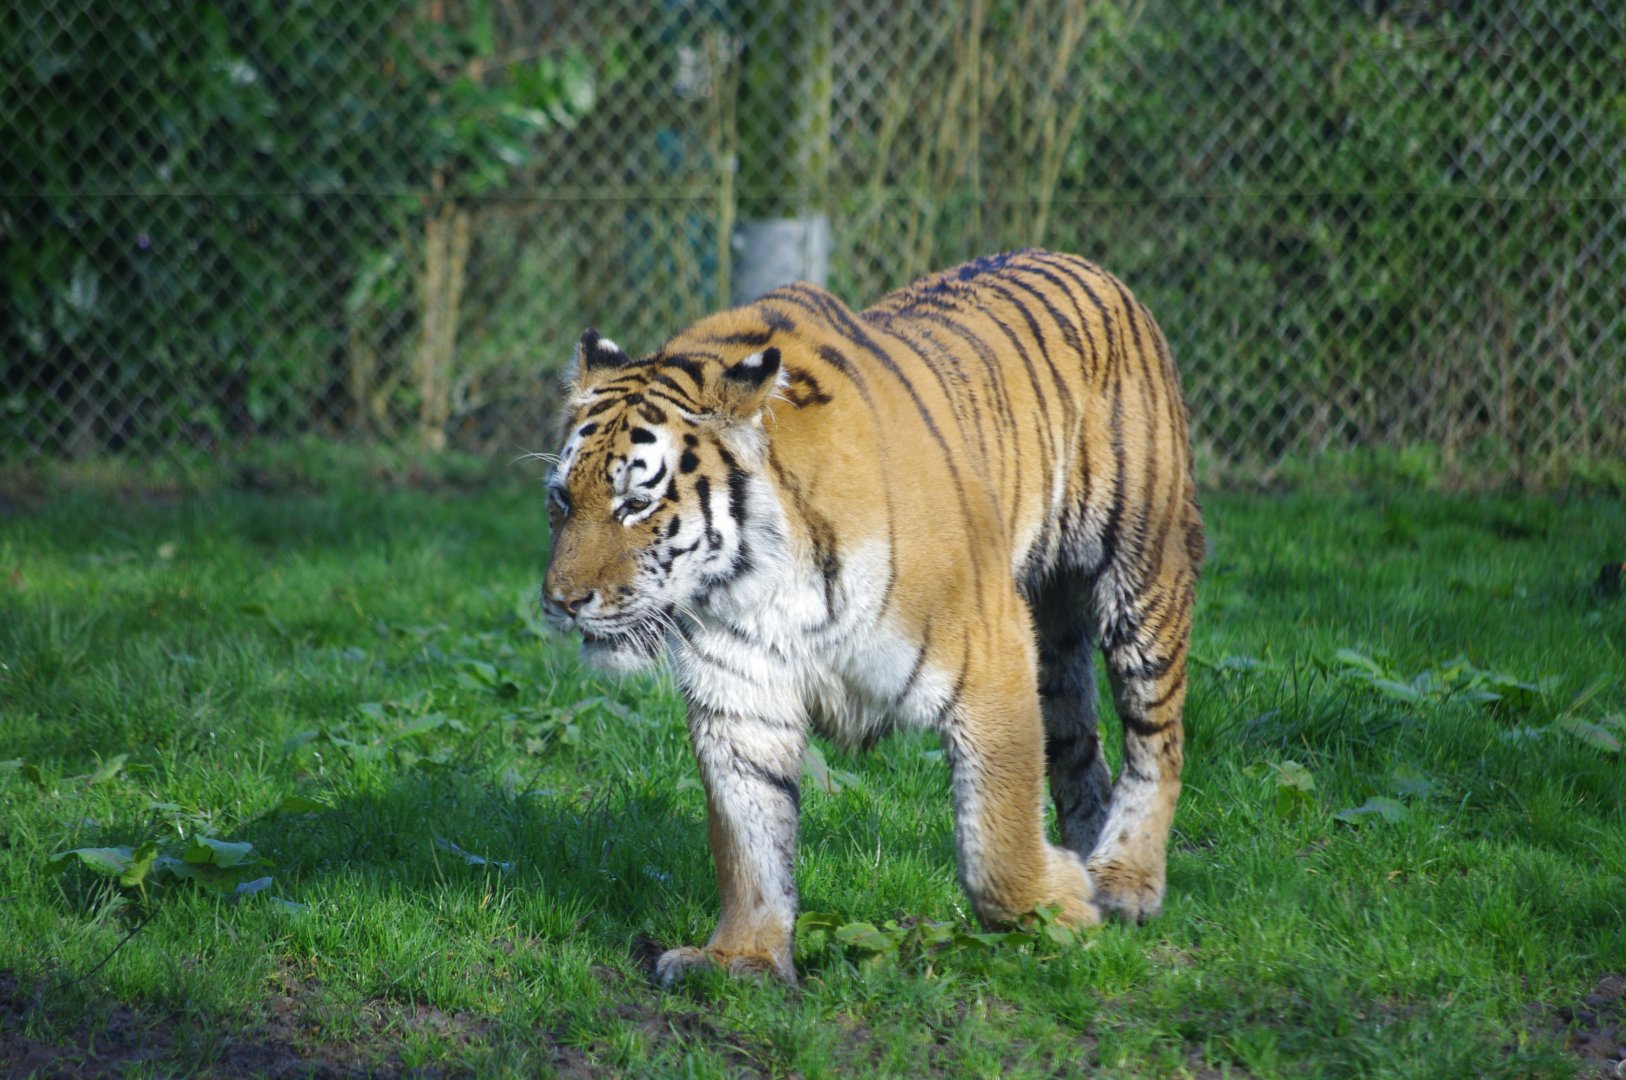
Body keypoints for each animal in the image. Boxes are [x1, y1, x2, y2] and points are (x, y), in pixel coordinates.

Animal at [540, 248, 1204, 986]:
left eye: (636, 504)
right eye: (562, 501)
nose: (561, 601)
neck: (759, 579)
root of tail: (1090, 267)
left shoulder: (991, 652)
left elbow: (995, 828)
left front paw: (1057, 910)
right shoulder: (740, 693)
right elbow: (748, 835)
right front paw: (742, 955)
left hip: (1142, 574)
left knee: (1158, 739)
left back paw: (1123, 879)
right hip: (1056, 643)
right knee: (1079, 744)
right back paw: (1091, 850)